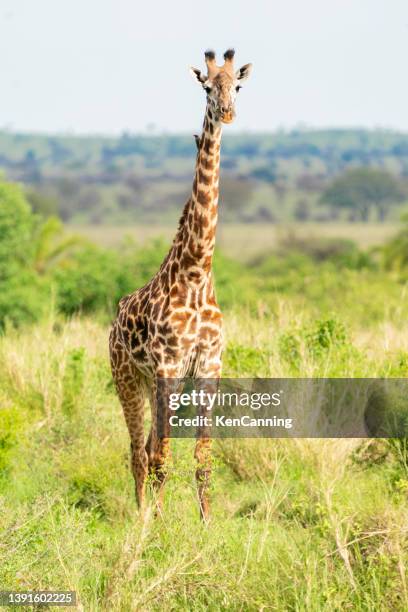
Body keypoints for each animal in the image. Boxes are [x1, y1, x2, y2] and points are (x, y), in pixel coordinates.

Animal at [110, 49, 253, 520]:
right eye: (207, 87)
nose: (227, 112)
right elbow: (162, 458)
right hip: (127, 376)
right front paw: (155, 525)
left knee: (148, 446)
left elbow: (203, 458)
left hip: (152, 381)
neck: (196, 270)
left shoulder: (209, 366)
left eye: (237, 86)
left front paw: (207, 525)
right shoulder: (168, 366)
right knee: (139, 451)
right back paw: (141, 516)